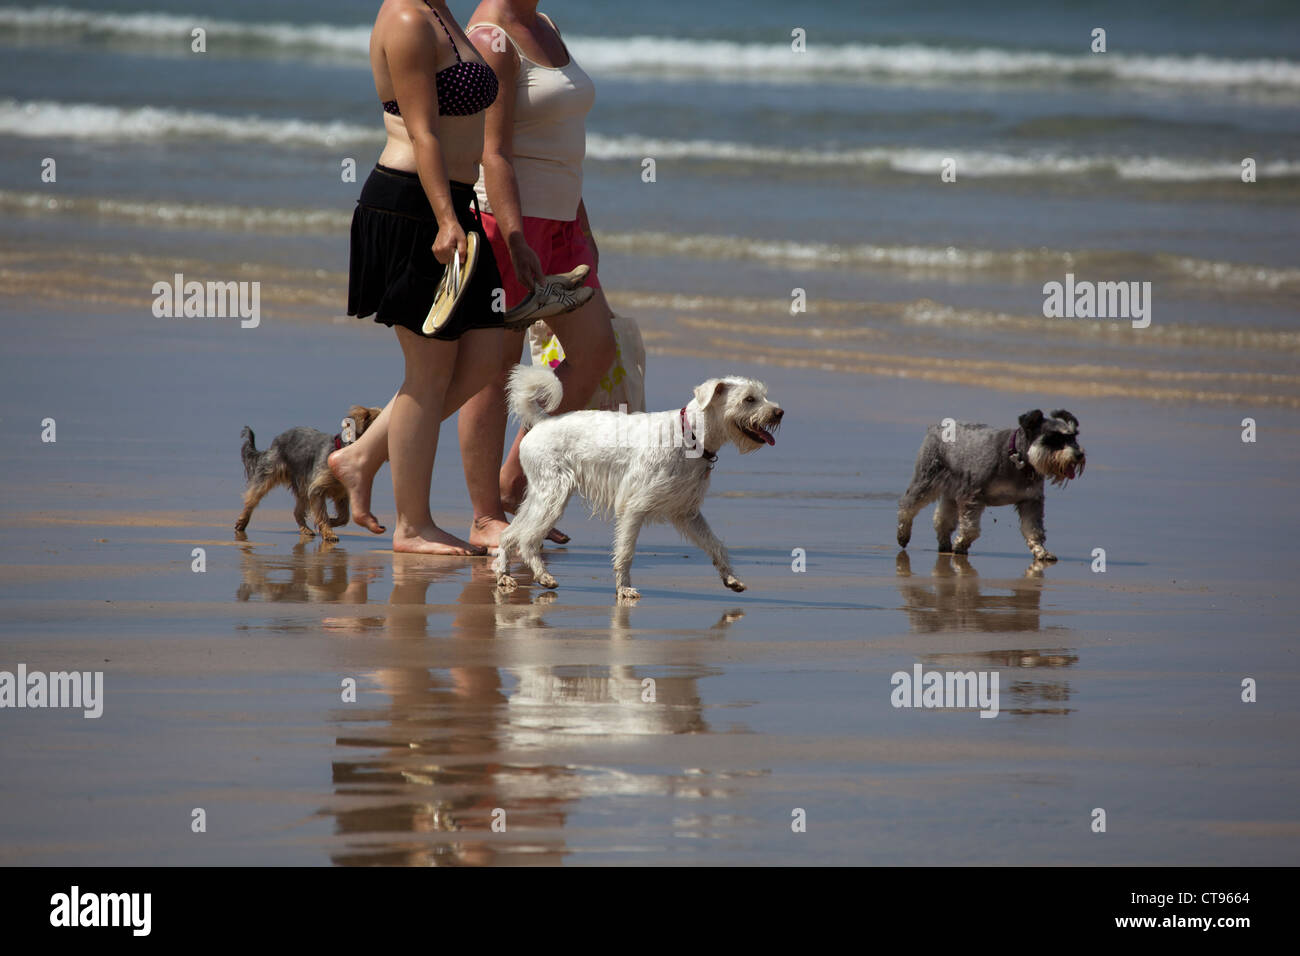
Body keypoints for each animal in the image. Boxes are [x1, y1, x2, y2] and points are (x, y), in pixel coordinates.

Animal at [235, 403, 379, 541]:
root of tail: (275, 441)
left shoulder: (341, 492)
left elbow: (344, 516)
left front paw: (331, 522)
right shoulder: (317, 488)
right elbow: (322, 512)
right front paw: (329, 532)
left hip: (302, 483)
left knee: (297, 510)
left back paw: (305, 529)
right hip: (271, 471)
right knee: (253, 497)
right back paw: (242, 522)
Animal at [491, 366, 780, 598]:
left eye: (762, 395)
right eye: (749, 399)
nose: (779, 412)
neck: (688, 435)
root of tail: (541, 422)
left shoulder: (687, 513)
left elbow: (715, 545)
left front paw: (731, 579)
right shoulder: (634, 508)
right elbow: (626, 552)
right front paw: (624, 589)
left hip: (540, 495)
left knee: (509, 533)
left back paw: (504, 575)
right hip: (553, 496)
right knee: (527, 538)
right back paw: (543, 576)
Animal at [894, 408, 1086, 561]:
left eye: (1073, 437)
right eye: (1053, 438)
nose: (1078, 455)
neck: (1016, 460)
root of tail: (936, 427)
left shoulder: (1031, 501)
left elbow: (1034, 530)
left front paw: (1041, 552)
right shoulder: (972, 496)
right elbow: (971, 528)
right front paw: (961, 544)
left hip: (950, 493)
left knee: (942, 519)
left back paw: (944, 545)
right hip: (926, 480)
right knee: (907, 505)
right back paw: (903, 535)